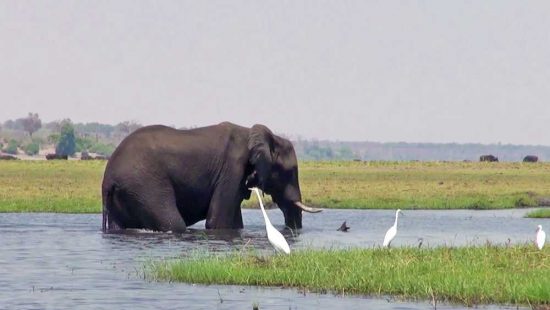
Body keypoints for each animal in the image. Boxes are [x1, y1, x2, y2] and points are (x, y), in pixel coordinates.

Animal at [101, 121, 322, 232]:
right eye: (290, 171)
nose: (290, 231)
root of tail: (107, 180)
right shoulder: (232, 168)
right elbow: (218, 220)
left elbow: (234, 222)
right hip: (144, 184)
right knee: (174, 223)